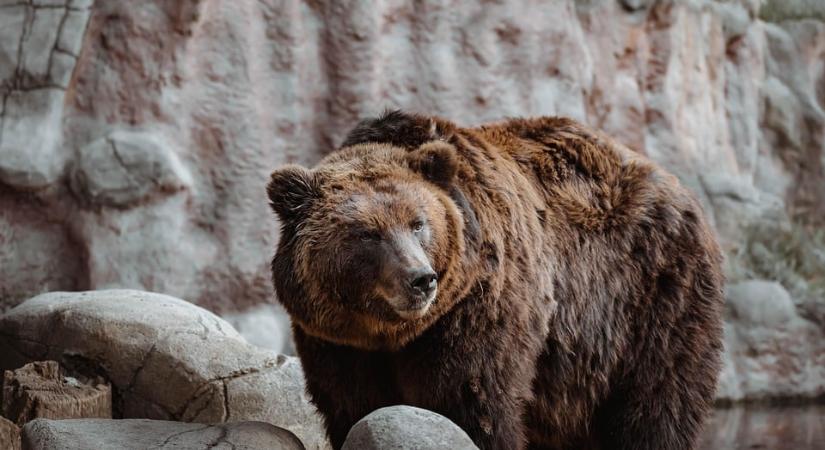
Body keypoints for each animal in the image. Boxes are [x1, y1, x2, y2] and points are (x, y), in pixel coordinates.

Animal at [268, 110, 724, 450]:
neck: (390, 333)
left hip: (652, 299)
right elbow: (353, 405)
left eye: (418, 223)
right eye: (367, 233)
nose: (421, 279)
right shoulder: (337, 342)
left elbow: (471, 399)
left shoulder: (478, 307)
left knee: (657, 403)